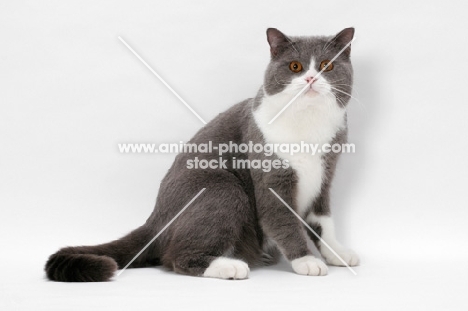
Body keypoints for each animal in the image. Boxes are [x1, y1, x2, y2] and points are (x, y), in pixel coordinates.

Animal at [45, 28, 358, 282]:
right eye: (295, 66)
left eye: (327, 65)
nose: (310, 78)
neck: (309, 123)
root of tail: (154, 219)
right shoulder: (271, 177)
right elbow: (284, 220)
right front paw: (306, 261)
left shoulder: (325, 174)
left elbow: (323, 220)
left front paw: (337, 253)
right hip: (221, 188)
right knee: (176, 257)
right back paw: (229, 266)